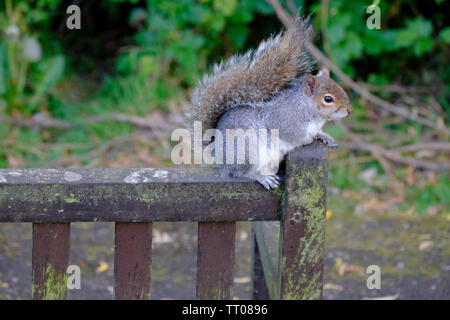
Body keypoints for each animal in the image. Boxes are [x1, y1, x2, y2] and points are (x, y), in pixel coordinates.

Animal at [188, 16, 354, 189]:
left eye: (340, 88)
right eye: (328, 99)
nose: (350, 110)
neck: (306, 108)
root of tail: (218, 155)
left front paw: (323, 136)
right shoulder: (283, 120)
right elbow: (294, 135)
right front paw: (308, 139)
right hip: (246, 151)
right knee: (242, 173)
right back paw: (262, 177)